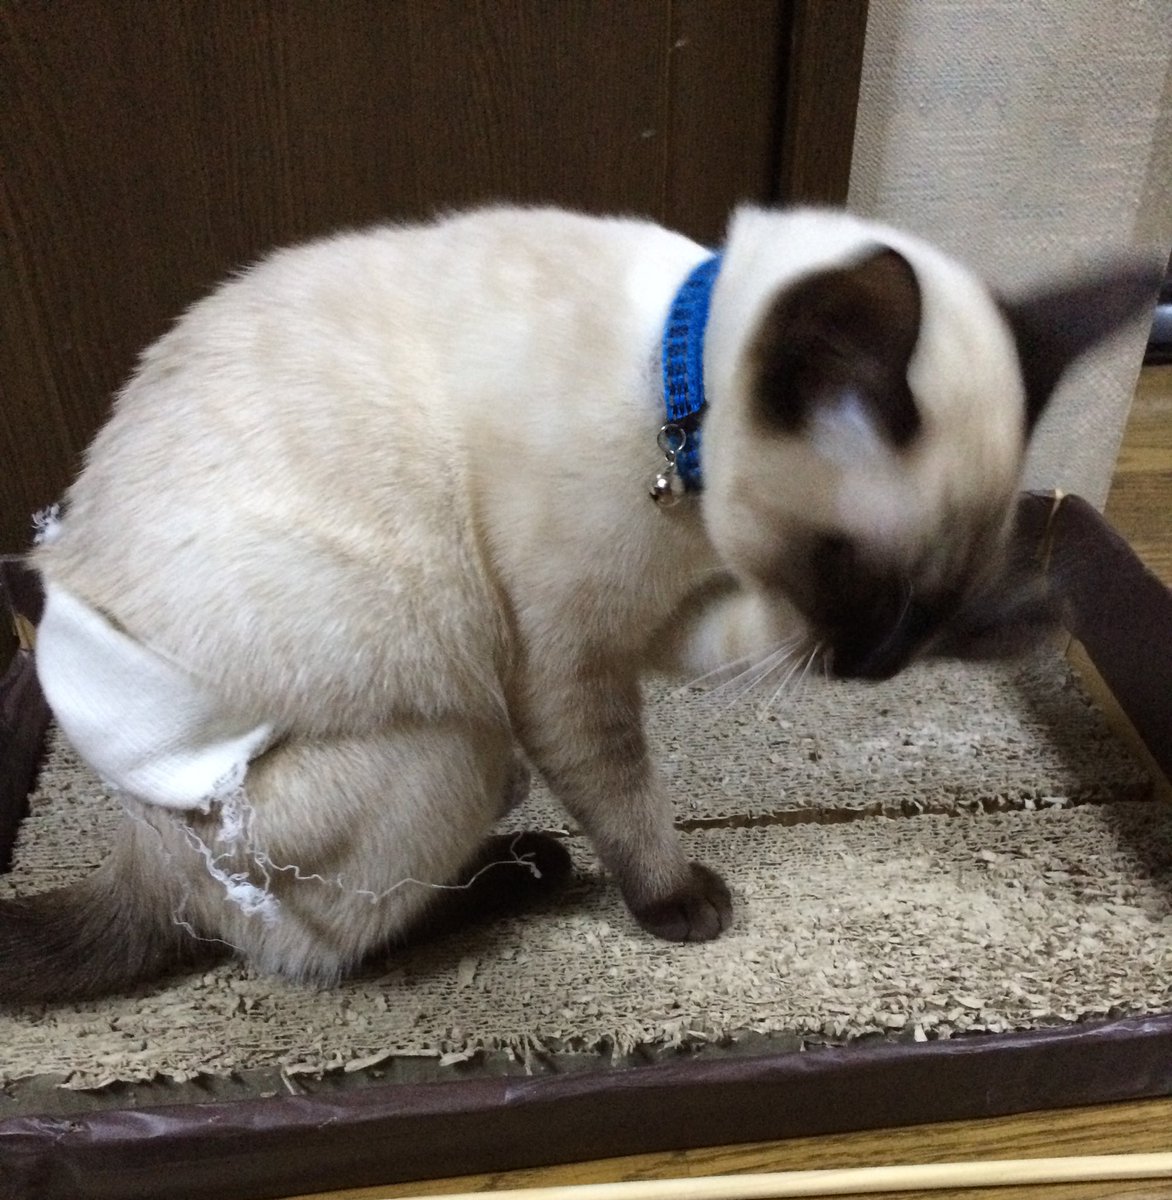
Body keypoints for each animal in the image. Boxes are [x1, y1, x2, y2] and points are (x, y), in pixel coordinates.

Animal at [0, 205, 1157, 1003]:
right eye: (849, 573)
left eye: (927, 603)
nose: (873, 666)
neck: (669, 409)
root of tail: (132, 850)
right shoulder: (572, 665)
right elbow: (626, 793)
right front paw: (678, 905)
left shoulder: (678, 619)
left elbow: (767, 644)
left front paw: (1032, 606)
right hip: (450, 734)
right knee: (318, 951)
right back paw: (521, 874)